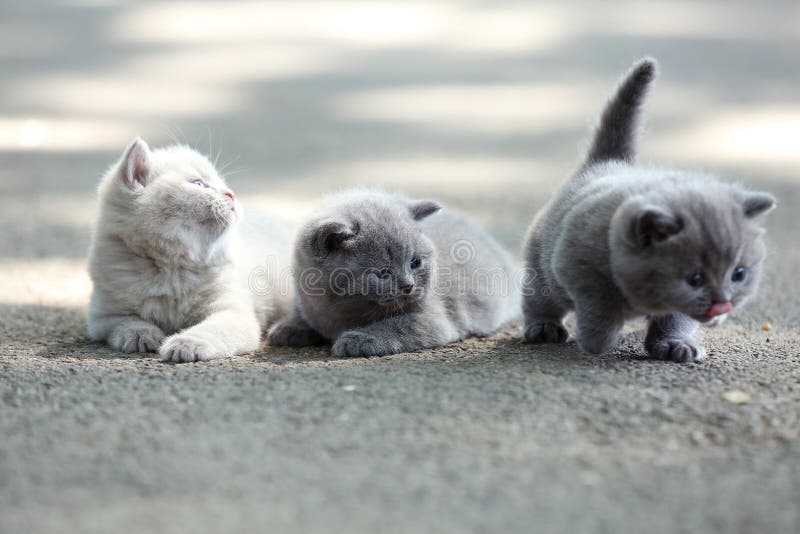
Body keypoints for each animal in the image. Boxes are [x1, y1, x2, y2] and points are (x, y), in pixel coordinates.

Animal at [86, 138, 290, 364]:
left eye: (222, 183)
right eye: (198, 183)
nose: (231, 194)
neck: (172, 268)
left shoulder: (233, 313)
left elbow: (212, 329)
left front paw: (186, 343)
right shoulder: (103, 315)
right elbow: (126, 321)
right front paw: (141, 335)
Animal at [268, 191, 520, 358]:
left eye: (415, 262)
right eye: (382, 273)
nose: (408, 285)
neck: (341, 313)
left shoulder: (433, 318)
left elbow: (396, 326)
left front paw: (357, 339)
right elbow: (303, 314)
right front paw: (288, 328)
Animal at [520, 59, 780, 364]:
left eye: (739, 274)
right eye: (694, 279)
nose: (721, 304)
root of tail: (606, 163)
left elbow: (675, 319)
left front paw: (675, 344)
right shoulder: (578, 270)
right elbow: (598, 312)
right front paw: (597, 340)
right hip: (541, 265)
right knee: (539, 297)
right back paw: (543, 328)